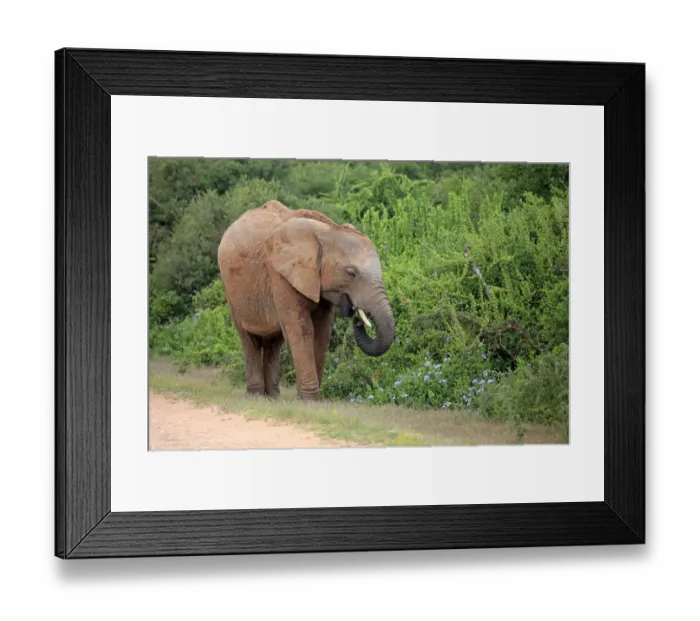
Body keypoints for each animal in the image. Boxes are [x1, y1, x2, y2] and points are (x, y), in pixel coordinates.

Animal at [217, 200, 395, 401]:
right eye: (351, 274)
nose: (357, 318)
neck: (329, 229)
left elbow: (322, 332)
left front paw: (315, 400)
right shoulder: (280, 274)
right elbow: (302, 330)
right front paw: (309, 400)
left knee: (273, 343)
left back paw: (274, 397)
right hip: (231, 290)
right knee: (249, 339)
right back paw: (256, 397)